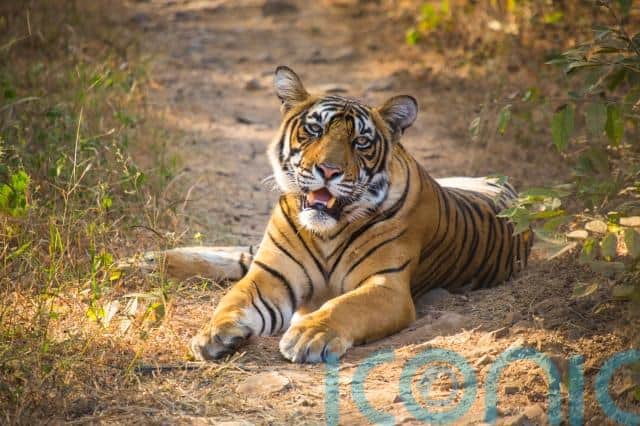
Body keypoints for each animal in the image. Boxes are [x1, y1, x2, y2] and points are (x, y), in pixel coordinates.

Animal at [143, 66, 533, 363]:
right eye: (314, 130)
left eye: (360, 142)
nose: (328, 170)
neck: (327, 232)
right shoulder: (271, 275)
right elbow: (233, 301)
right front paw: (212, 334)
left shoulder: (387, 286)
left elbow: (344, 306)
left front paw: (309, 335)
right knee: (239, 254)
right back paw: (148, 260)